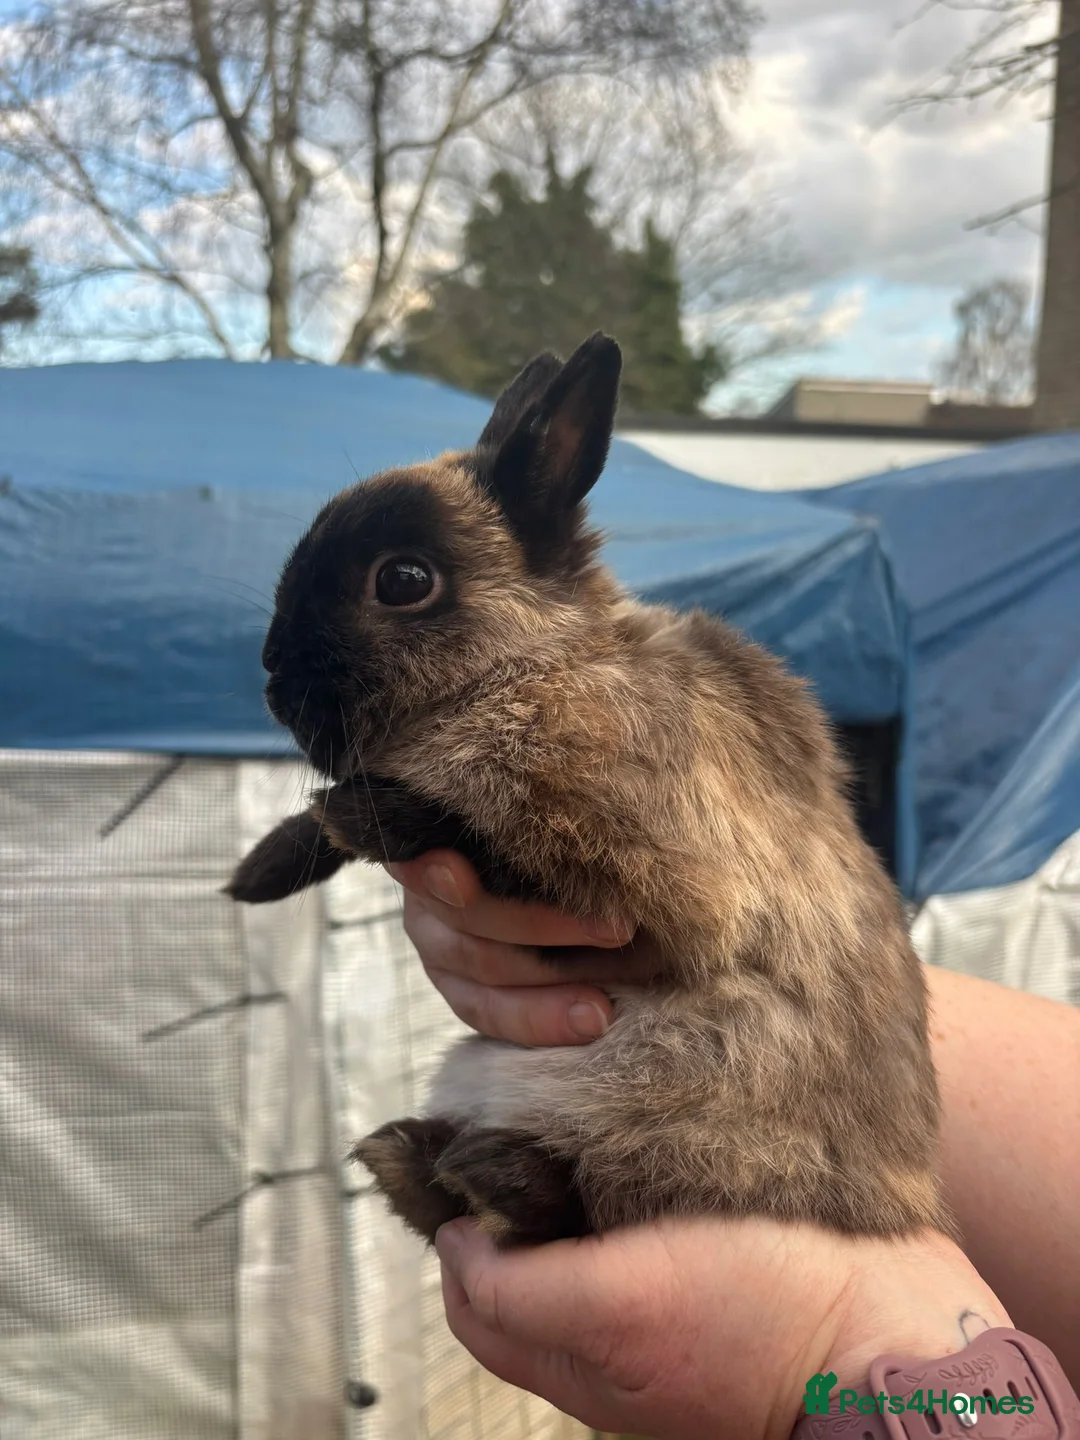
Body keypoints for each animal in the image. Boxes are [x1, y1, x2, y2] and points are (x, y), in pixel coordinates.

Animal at [227, 333, 949, 1248]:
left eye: (403, 580)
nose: (272, 675)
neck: (534, 665)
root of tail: (898, 1208)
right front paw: (257, 874)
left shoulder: (643, 878)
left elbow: (474, 836)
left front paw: (362, 812)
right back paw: (413, 1155)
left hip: (692, 1117)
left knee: (593, 1202)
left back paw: (489, 1172)